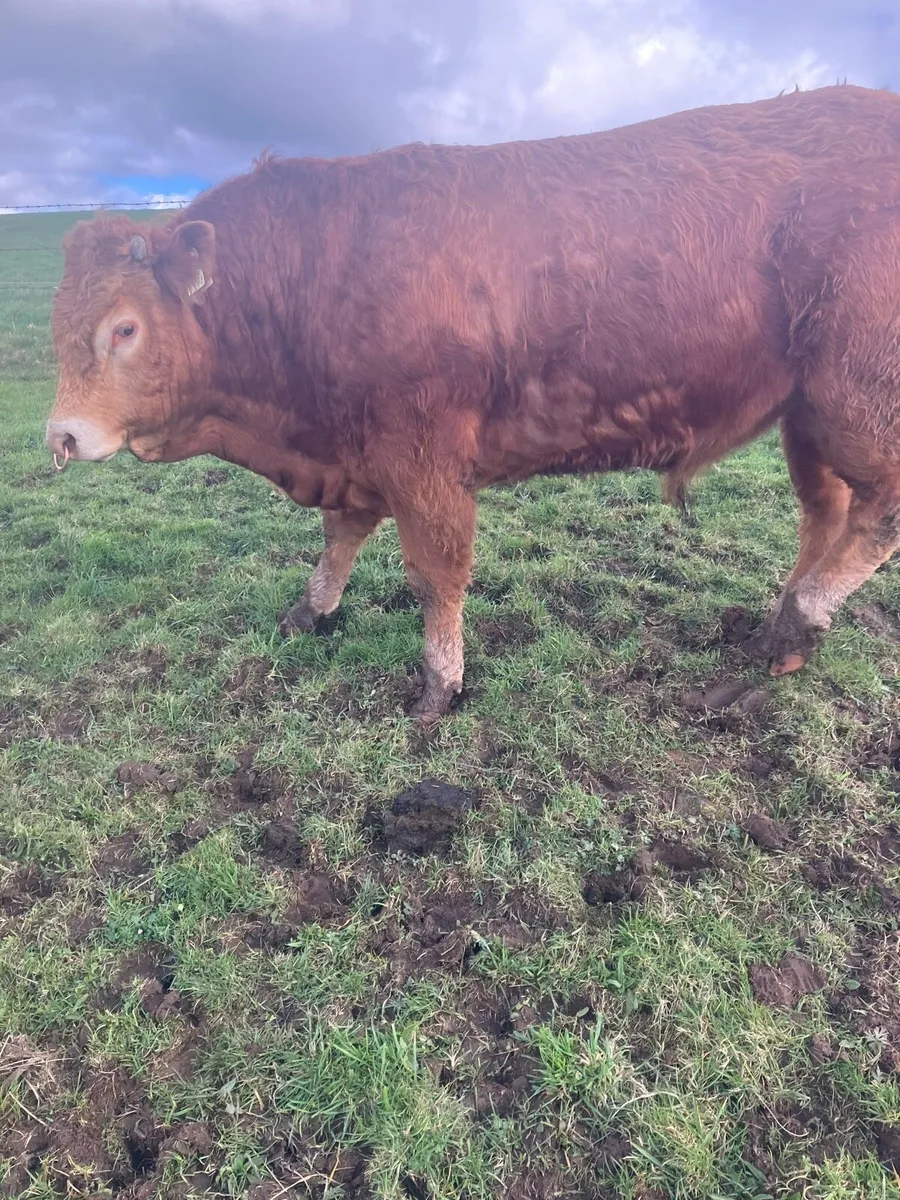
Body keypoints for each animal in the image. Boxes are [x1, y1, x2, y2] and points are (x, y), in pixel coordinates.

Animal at [46, 83, 900, 723]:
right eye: (57, 319)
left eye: (124, 327)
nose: (62, 436)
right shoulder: (357, 452)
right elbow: (339, 539)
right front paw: (309, 612)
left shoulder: (424, 461)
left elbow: (435, 573)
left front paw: (439, 682)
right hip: (807, 417)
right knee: (825, 511)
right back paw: (779, 631)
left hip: (855, 397)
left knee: (878, 509)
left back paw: (803, 614)